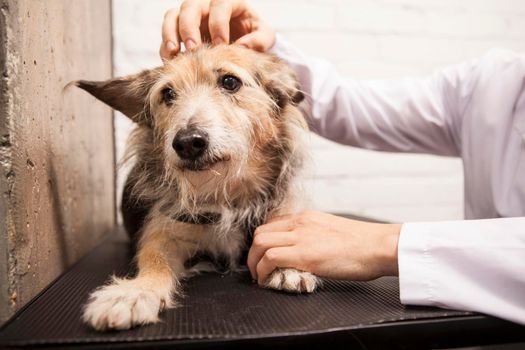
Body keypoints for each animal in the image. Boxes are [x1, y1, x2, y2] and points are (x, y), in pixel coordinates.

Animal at [73, 44, 320, 330]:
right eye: (168, 94)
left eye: (230, 82)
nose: (188, 142)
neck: (226, 193)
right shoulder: (164, 231)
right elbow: (154, 260)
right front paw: (134, 293)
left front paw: (288, 267)